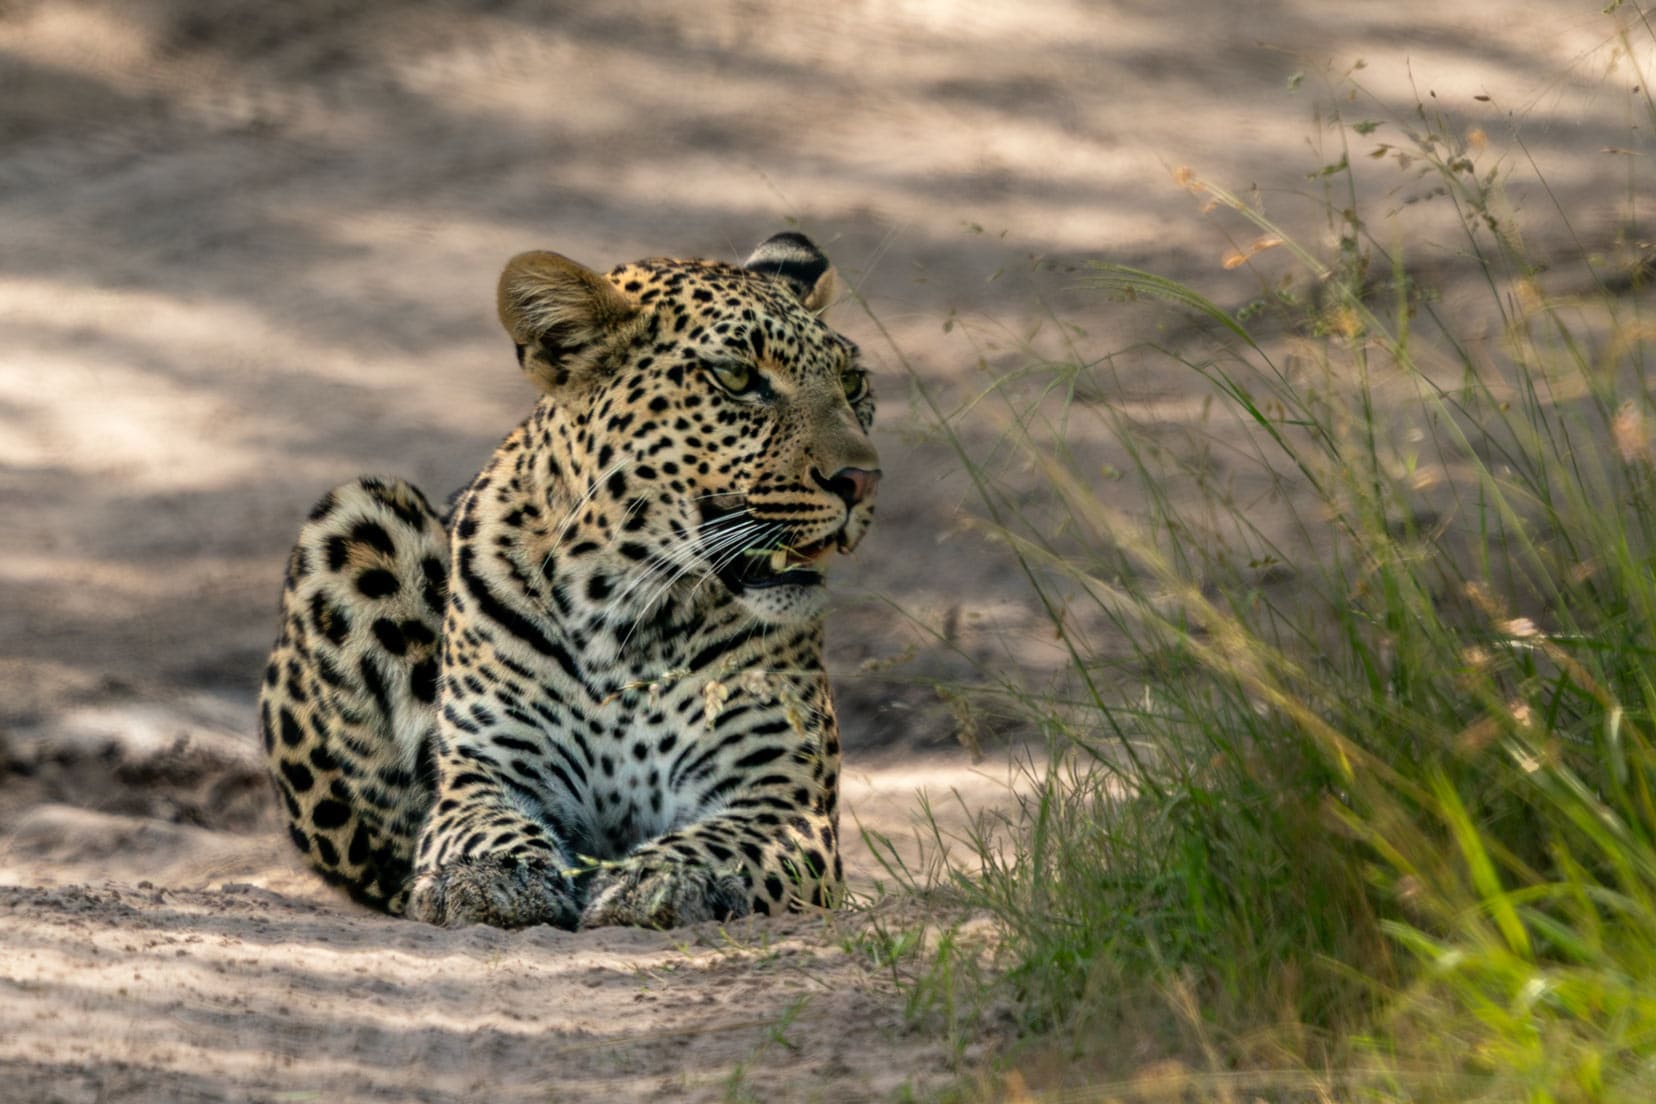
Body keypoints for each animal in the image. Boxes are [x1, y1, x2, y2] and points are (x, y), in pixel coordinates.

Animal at [258, 233, 880, 933]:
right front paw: (493, 877)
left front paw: (663, 878)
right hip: (356, 517)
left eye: (852, 382)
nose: (862, 479)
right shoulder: (484, 776)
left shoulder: (782, 798)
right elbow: (483, 831)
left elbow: (723, 844)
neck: (635, 612)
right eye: (738, 378)